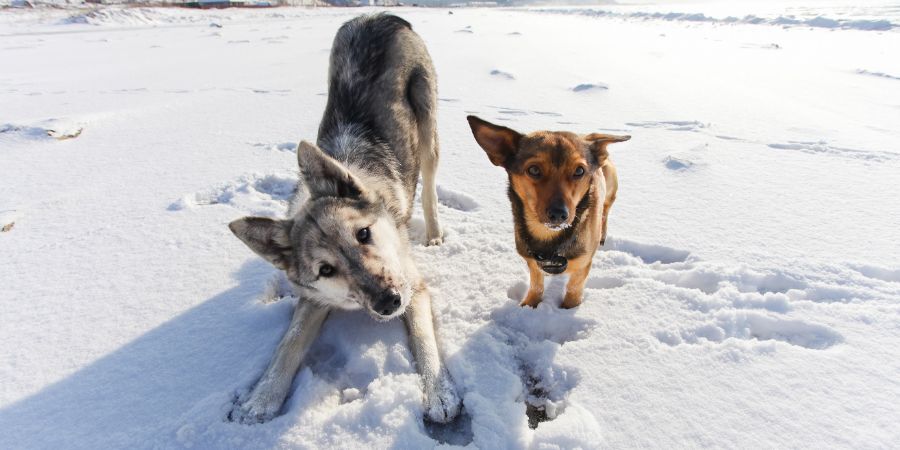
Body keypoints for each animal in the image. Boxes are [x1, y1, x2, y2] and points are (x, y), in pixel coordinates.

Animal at [468, 115, 628, 310]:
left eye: (579, 170)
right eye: (534, 169)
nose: (559, 214)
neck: (548, 237)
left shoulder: (583, 265)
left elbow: (573, 289)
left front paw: (567, 310)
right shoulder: (531, 261)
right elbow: (536, 283)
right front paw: (529, 305)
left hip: (610, 193)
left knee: (605, 211)